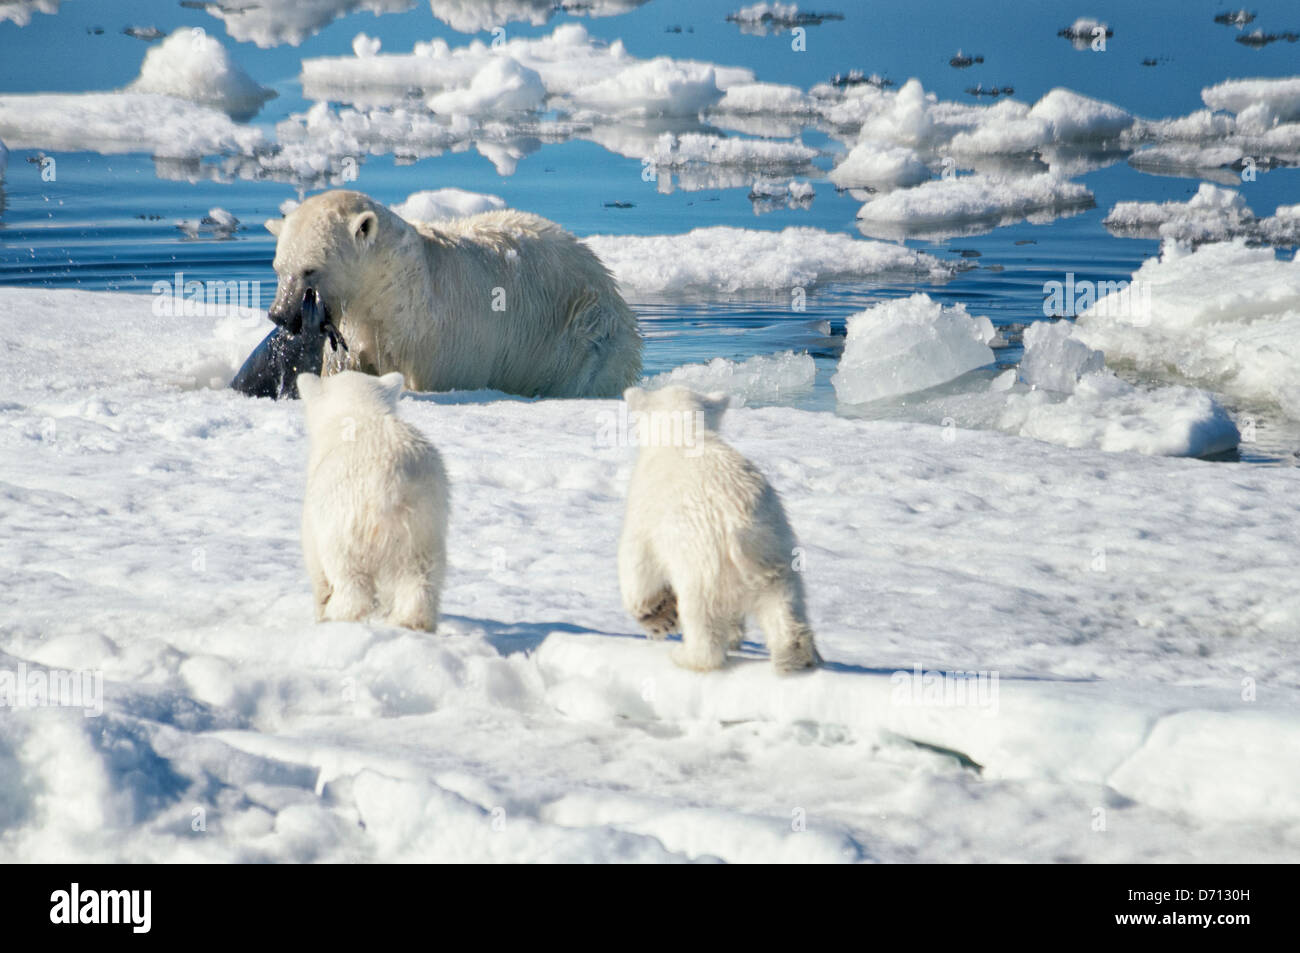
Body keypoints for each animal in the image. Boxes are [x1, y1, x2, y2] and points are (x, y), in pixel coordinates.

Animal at [257, 187, 639, 395]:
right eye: (278, 267)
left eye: (309, 269)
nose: (279, 314)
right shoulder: (357, 327)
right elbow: (342, 367)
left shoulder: (437, 338)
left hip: (586, 337)